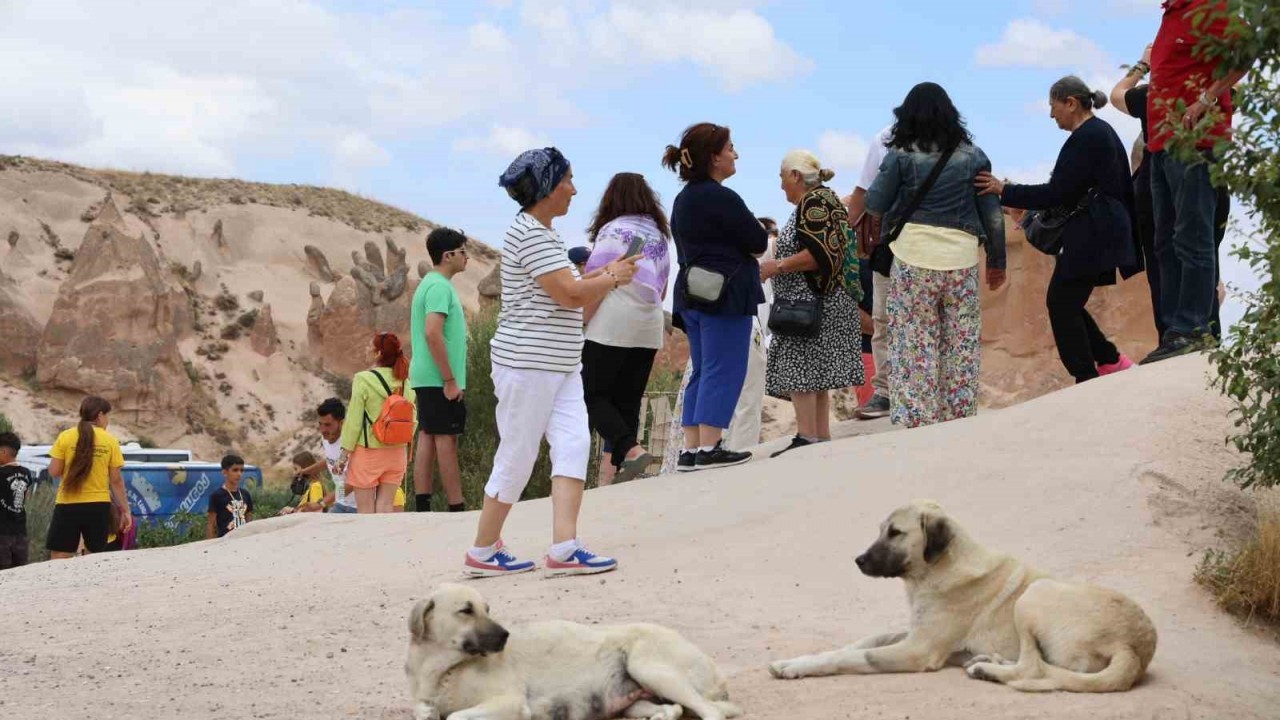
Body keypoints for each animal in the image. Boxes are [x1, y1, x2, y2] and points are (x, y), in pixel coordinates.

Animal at [399, 584, 742, 717]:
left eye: (487, 609)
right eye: (466, 610)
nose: (506, 636)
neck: (444, 669)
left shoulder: (509, 701)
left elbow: (457, 715)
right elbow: (425, 711)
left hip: (649, 667)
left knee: (710, 712)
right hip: (634, 699)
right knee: (672, 710)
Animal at [768, 499, 1162, 691]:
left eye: (895, 533)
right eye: (880, 530)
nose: (859, 561)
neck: (936, 570)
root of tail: (1135, 649)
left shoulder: (918, 649)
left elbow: (851, 657)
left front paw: (798, 668)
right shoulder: (914, 631)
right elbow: (862, 641)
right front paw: (797, 659)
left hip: (1035, 594)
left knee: (1033, 667)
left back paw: (987, 669)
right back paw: (988, 662)